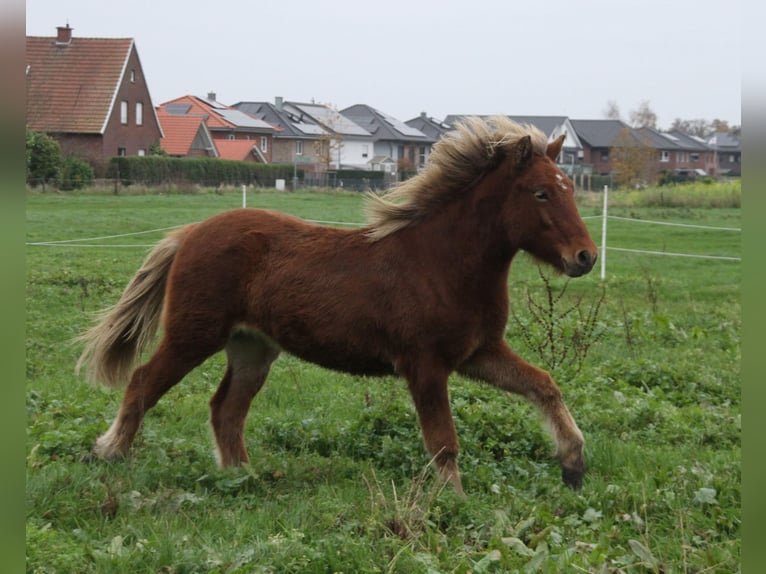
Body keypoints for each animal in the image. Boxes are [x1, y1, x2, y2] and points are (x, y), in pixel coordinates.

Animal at [75, 117, 596, 496]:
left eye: (569, 188)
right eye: (541, 193)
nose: (585, 257)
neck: (442, 262)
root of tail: (189, 233)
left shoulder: (478, 354)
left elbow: (544, 385)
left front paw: (573, 464)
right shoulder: (425, 365)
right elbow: (444, 443)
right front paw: (453, 503)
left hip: (252, 347)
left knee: (226, 408)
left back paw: (243, 477)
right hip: (193, 335)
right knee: (145, 382)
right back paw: (110, 452)